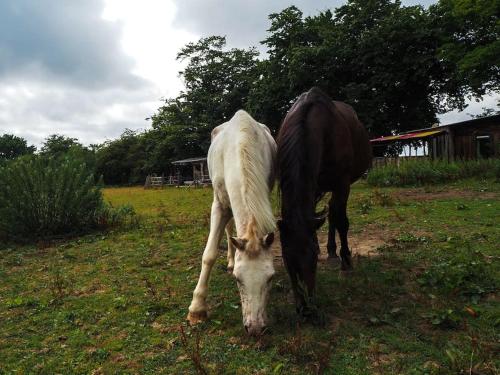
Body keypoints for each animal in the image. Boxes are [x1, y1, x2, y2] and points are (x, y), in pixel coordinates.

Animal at [187, 110, 276, 336]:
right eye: (238, 279)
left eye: (270, 278)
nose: (255, 328)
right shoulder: (219, 205)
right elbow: (209, 255)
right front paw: (196, 310)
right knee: (229, 230)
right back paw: (229, 260)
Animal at [278, 88, 372, 314]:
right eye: (285, 258)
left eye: (312, 259)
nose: (305, 308)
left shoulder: (342, 183)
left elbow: (342, 222)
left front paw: (346, 259)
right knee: (330, 212)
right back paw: (330, 250)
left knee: (335, 214)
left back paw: (336, 253)